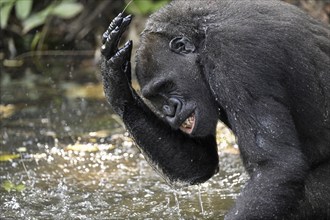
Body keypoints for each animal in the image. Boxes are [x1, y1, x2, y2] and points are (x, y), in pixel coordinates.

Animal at [100, 0, 330, 219]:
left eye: (164, 86)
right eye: (154, 97)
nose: (169, 111)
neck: (202, 39)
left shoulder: (232, 57)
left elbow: (276, 166)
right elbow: (200, 162)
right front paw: (115, 80)